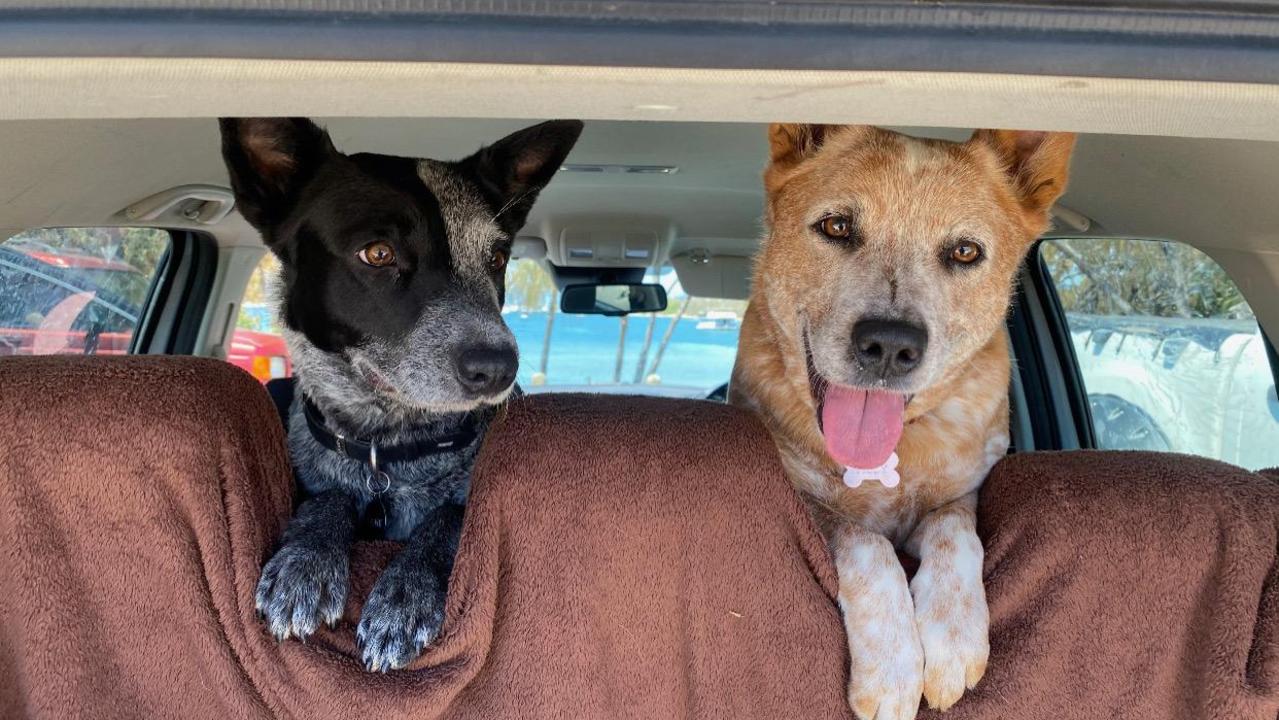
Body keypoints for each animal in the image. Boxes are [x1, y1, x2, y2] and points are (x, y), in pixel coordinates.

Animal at [221, 117, 585, 670]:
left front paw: (403, 598)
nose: (499, 366)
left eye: (497, 257)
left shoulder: (462, 501)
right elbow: (327, 498)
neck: (387, 447)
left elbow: (448, 520)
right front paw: (304, 562)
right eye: (378, 253)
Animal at [731, 126, 1069, 716]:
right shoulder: (809, 503)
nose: (889, 345)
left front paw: (953, 639)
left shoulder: (962, 494)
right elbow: (868, 544)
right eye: (836, 226)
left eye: (965, 251)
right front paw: (892, 669)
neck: (889, 459)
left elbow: (955, 535)